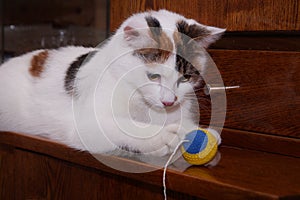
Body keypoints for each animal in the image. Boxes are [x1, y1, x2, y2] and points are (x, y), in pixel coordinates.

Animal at [0, 10, 225, 161]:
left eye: (185, 78)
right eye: (153, 76)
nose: (169, 102)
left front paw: (195, 129)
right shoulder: (85, 124)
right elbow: (122, 127)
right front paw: (163, 136)